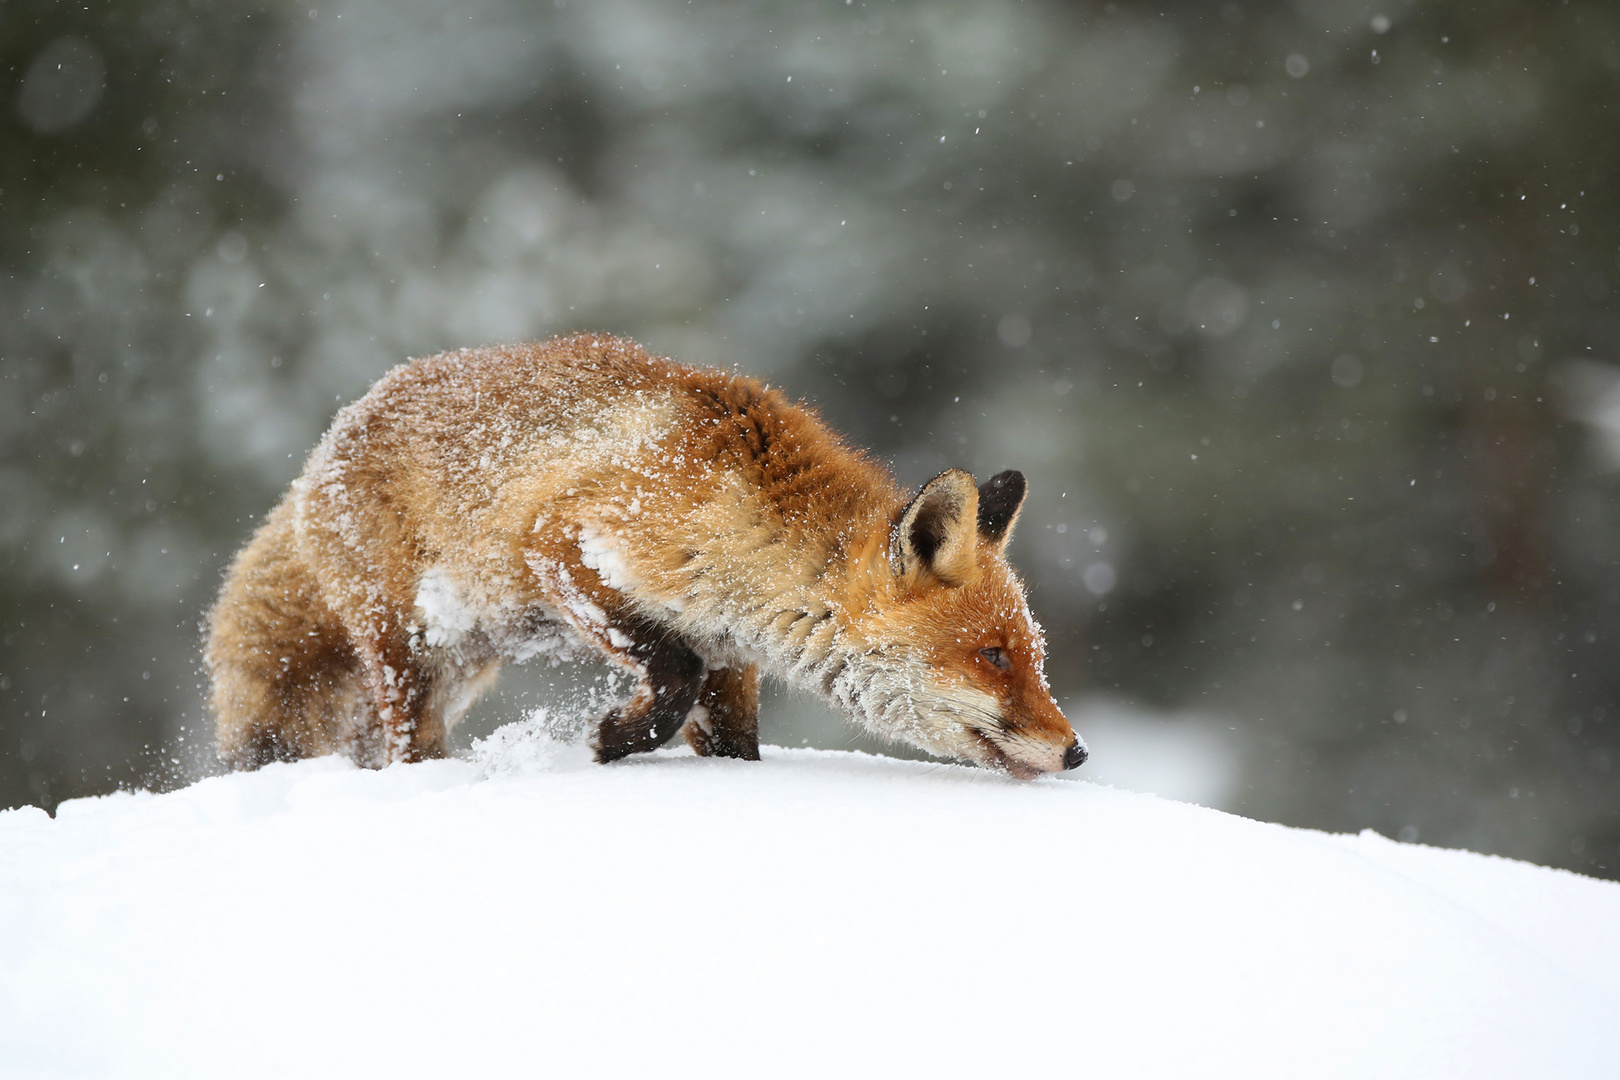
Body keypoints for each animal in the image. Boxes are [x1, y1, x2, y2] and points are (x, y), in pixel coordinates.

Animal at [205, 331, 1088, 777]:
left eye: (1033, 655)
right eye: (993, 656)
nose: (1077, 750)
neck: (744, 519)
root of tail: (330, 438)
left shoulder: (731, 653)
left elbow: (734, 744)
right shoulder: (567, 545)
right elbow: (671, 675)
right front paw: (612, 742)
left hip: (459, 662)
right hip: (409, 654)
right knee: (401, 749)